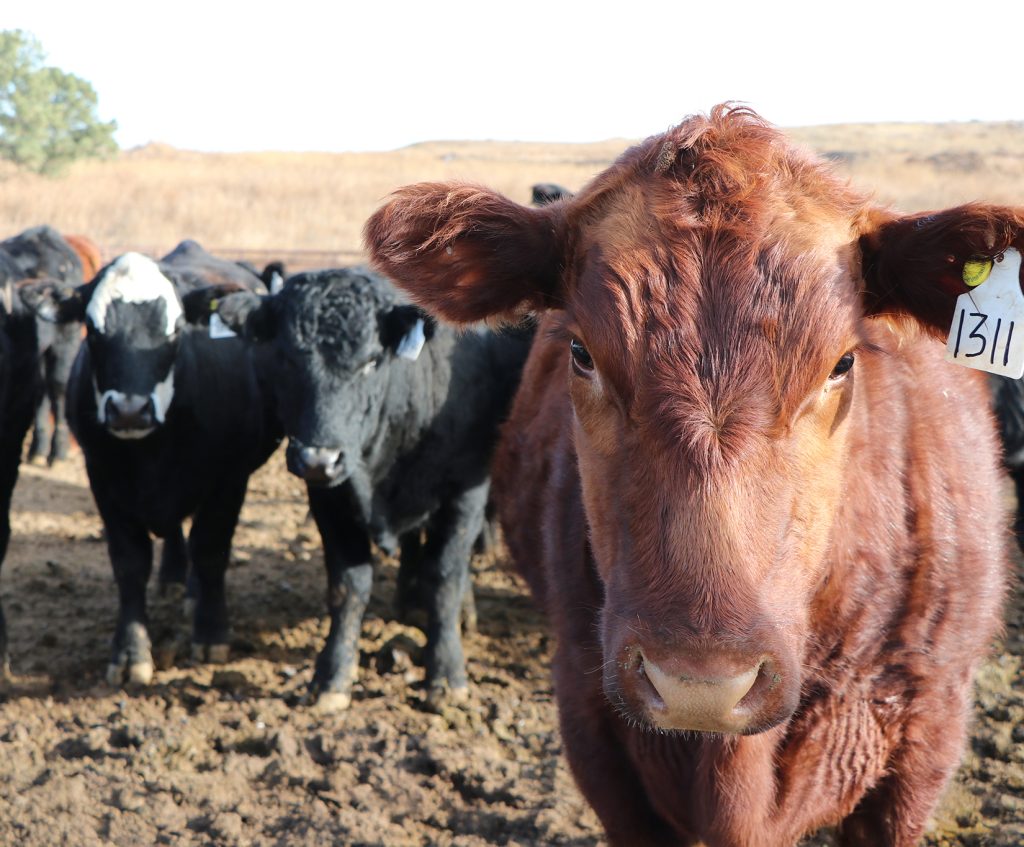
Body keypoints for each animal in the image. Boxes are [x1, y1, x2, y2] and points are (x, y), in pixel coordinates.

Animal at [20, 243, 281, 686]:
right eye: (94, 330)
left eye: (175, 330)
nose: (129, 410)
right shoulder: (103, 480)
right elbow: (130, 564)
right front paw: (130, 653)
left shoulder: (230, 479)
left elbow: (211, 550)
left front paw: (211, 633)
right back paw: (173, 579)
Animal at [211, 267, 533, 711]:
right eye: (287, 358)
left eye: (370, 362)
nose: (318, 458)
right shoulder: (330, 499)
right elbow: (349, 587)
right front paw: (332, 677)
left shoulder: (466, 489)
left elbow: (445, 577)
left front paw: (446, 674)